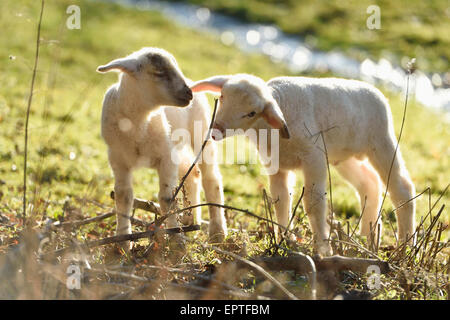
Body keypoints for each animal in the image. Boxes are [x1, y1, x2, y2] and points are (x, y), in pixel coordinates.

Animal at [96, 47, 227, 250]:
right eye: (159, 73)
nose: (188, 94)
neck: (139, 123)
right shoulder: (118, 159)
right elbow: (123, 196)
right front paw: (123, 241)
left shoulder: (166, 157)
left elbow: (167, 199)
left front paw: (176, 241)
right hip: (177, 149)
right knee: (192, 174)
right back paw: (190, 220)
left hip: (202, 134)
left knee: (211, 179)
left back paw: (217, 232)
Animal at [192, 74, 416, 256]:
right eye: (222, 97)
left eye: (252, 113)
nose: (216, 129)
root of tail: (378, 93)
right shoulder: (276, 163)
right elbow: (281, 198)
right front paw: (284, 239)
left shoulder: (314, 157)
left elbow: (313, 201)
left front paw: (323, 248)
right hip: (344, 156)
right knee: (369, 184)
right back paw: (365, 238)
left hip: (381, 142)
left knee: (401, 188)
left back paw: (405, 245)